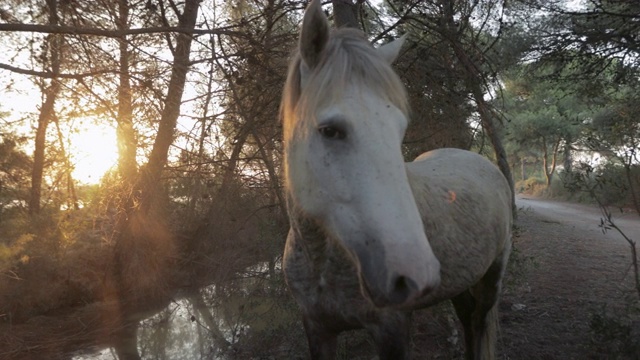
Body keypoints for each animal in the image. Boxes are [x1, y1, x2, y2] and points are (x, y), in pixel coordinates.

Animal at [282, 1, 512, 358]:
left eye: (399, 130)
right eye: (330, 130)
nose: (416, 274)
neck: (322, 261)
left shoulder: (391, 328)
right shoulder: (317, 328)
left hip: (492, 277)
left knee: (478, 321)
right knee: (466, 317)